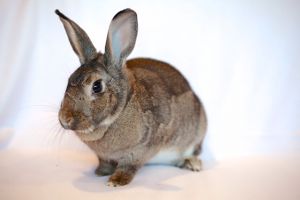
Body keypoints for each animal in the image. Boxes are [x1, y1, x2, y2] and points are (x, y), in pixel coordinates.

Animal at [55, 7, 206, 186]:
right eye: (69, 80)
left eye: (97, 86)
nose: (65, 119)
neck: (120, 110)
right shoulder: (104, 156)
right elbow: (105, 163)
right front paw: (100, 173)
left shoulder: (139, 150)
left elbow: (128, 166)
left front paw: (116, 181)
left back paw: (192, 164)